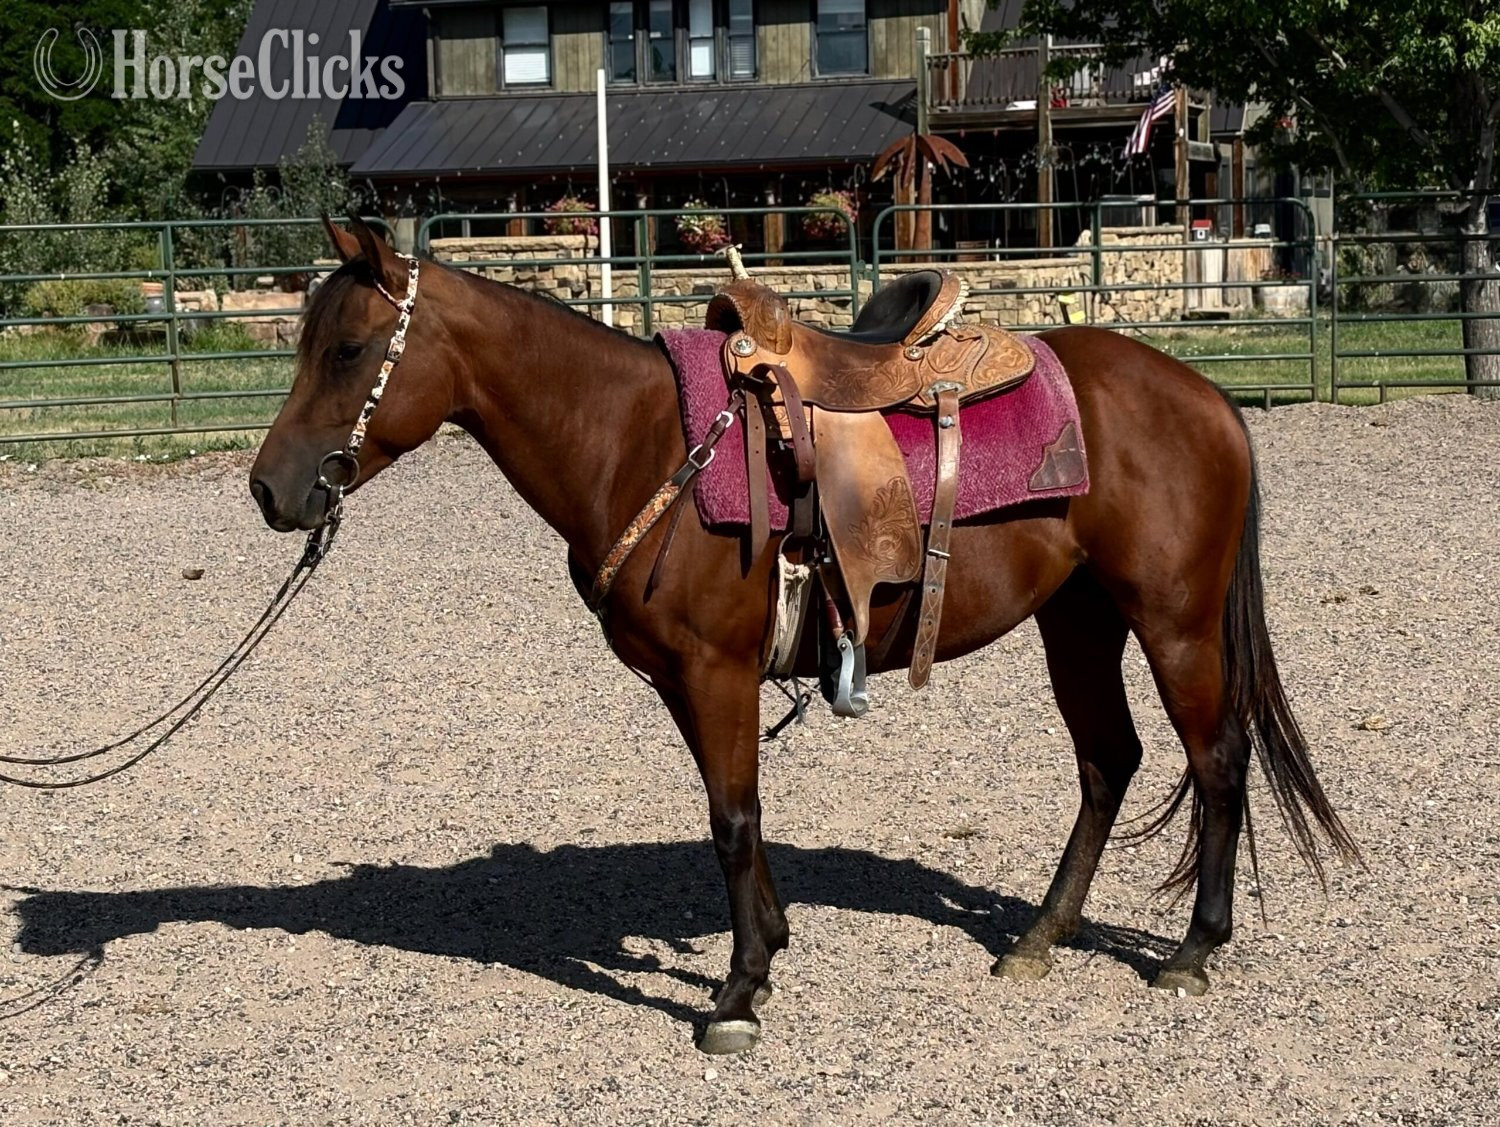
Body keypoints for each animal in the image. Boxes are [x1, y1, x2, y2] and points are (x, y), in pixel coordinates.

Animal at [248, 218, 1357, 1055]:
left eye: (348, 349)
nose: (269, 488)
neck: (635, 437)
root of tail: (1209, 399)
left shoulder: (717, 670)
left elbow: (734, 819)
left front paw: (737, 993)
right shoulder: (686, 679)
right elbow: (732, 809)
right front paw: (770, 948)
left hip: (1173, 622)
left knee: (1216, 760)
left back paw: (1192, 950)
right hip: (1079, 620)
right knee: (1107, 761)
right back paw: (1041, 934)